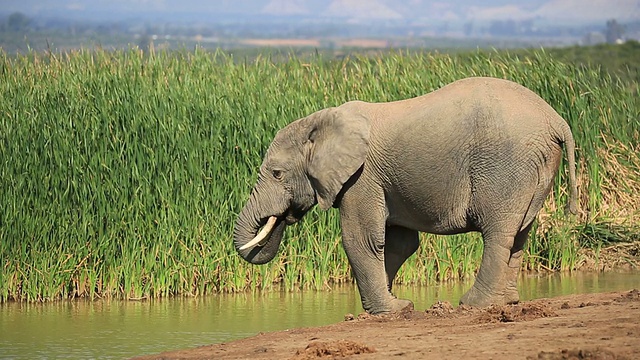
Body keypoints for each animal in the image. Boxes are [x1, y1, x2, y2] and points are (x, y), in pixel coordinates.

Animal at [232, 76, 576, 316]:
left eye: (277, 174)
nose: (282, 216)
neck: (322, 121)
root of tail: (557, 120)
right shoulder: (385, 182)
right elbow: (400, 242)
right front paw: (395, 306)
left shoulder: (362, 177)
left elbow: (360, 239)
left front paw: (390, 310)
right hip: (536, 168)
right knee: (520, 233)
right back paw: (507, 302)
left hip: (505, 164)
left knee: (498, 232)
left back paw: (473, 304)